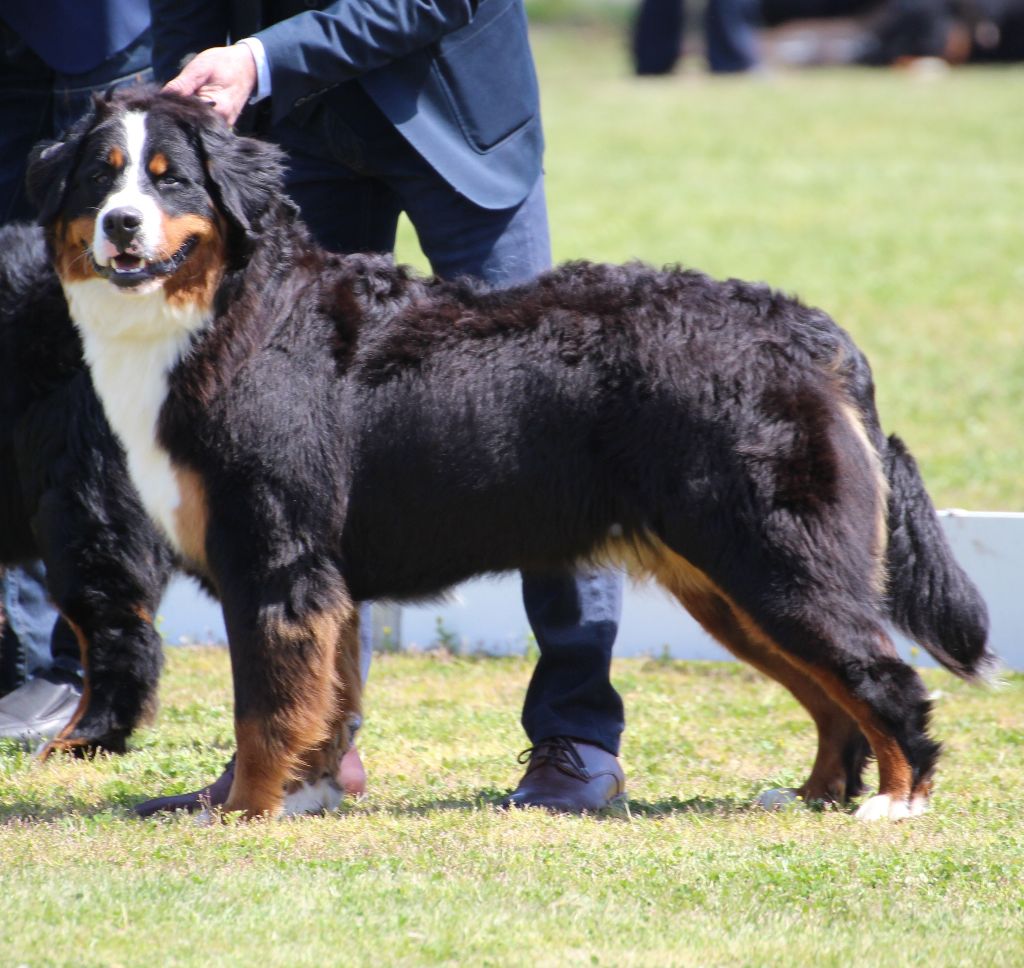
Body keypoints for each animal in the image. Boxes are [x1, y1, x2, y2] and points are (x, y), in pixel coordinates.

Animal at [28, 88, 995, 815]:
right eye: (100, 176)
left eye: (170, 182)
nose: (121, 226)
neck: (227, 311)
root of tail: (811, 332)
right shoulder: (323, 581)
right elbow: (324, 700)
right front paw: (302, 795)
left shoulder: (277, 557)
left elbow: (265, 708)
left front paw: (245, 811)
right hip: (730, 583)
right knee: (832, 696)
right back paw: (815, 793)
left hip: (776, 559)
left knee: (880, 676)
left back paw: (895, 801)